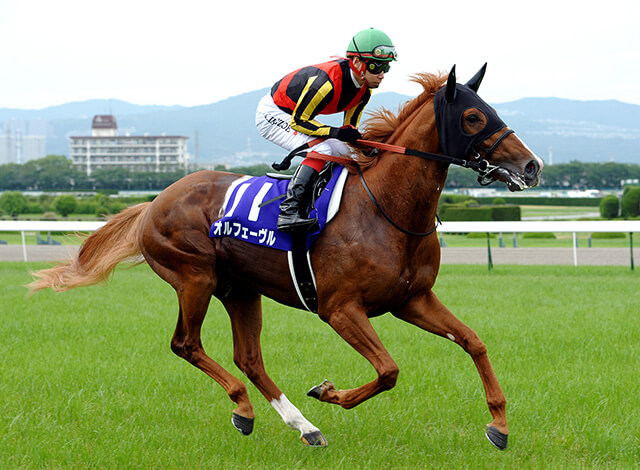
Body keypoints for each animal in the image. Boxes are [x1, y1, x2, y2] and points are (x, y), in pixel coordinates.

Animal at [28, 65, 540, 448]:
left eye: (492, 111)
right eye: (472, 118)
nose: (531, 166)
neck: (387, 209)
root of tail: (154, 201)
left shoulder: (412, 300)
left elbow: (474, 341)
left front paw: (498, 424)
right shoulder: (339, 308)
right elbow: (389, 370)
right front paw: (329, 392)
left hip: (240, 289)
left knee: (249, 357)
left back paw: (302, 426)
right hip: (194, 277)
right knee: (187, 344)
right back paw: (246, 408)